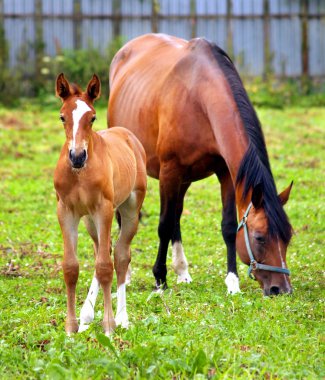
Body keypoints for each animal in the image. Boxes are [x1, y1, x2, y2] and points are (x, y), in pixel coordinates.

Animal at [53, 72, 147, 334]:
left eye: (93, 117)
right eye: (62, 117)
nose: (77, 156)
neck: (79, 174)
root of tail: (127, 134)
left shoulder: (103, 209)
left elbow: (105, 267)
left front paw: (109, 325)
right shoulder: (66, 211)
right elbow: (71, 267)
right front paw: (71, 327)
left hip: (129, 210)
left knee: (121, 256)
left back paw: (123, 317)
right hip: (89, 220)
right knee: (102, 250)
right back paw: (86, 315)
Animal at [107, 33, 292, 296]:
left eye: (287, 238)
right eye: (260, 237)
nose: (281, 289)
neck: (198, 97)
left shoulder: (225, 173)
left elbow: (228, 226)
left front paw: (232, 282)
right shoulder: (169, 172)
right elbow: (163, 225)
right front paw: (159, 279)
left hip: (184, 179)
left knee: (176, 214)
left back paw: (182, 271)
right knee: (129, 217)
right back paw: (128, 274)